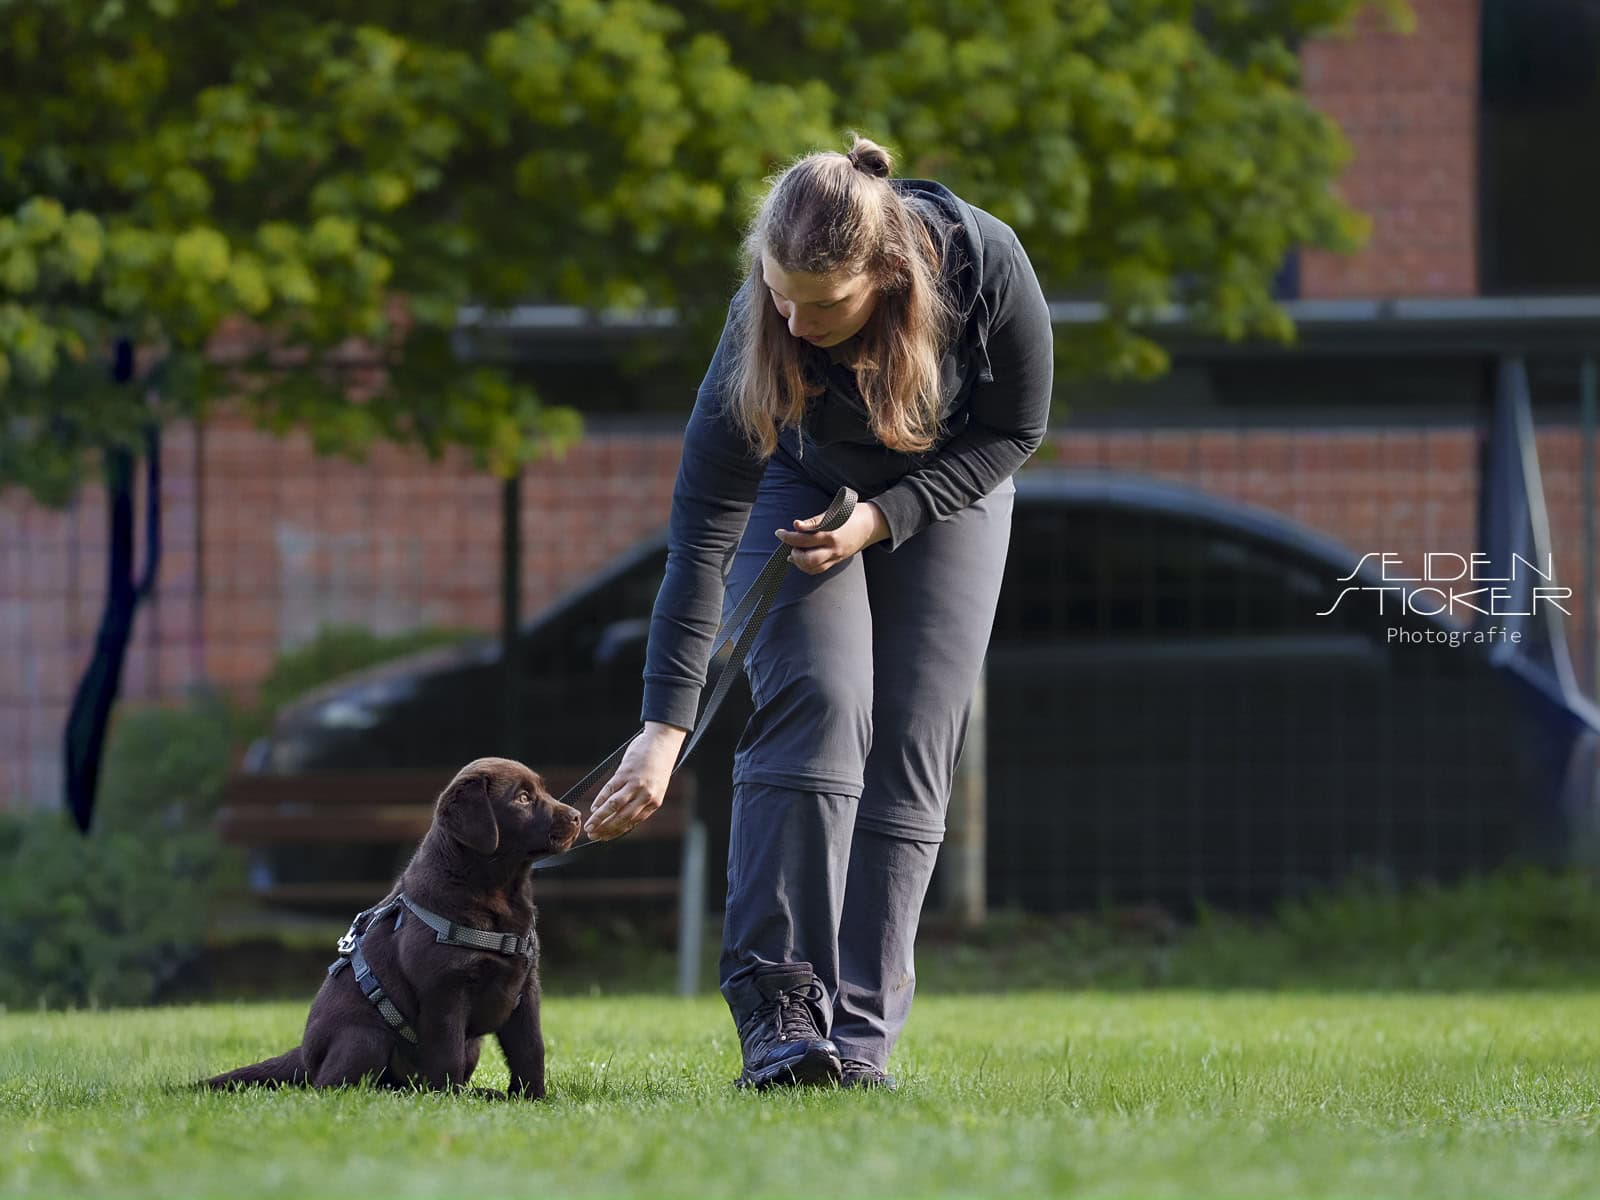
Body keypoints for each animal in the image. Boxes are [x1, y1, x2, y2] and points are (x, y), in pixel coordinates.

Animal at [205, 757, 582, 1098]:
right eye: (523, 798)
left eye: (543, 790)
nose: (577, 817)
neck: (497, 891)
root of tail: (304, 1057)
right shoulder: (444, 991)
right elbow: (447, 1054)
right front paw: (450, 1100)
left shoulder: (525, 989)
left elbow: (530, 1050)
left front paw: (534, 1098)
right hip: (365, 1037)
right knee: (332, 1086)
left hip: (468, 1043)